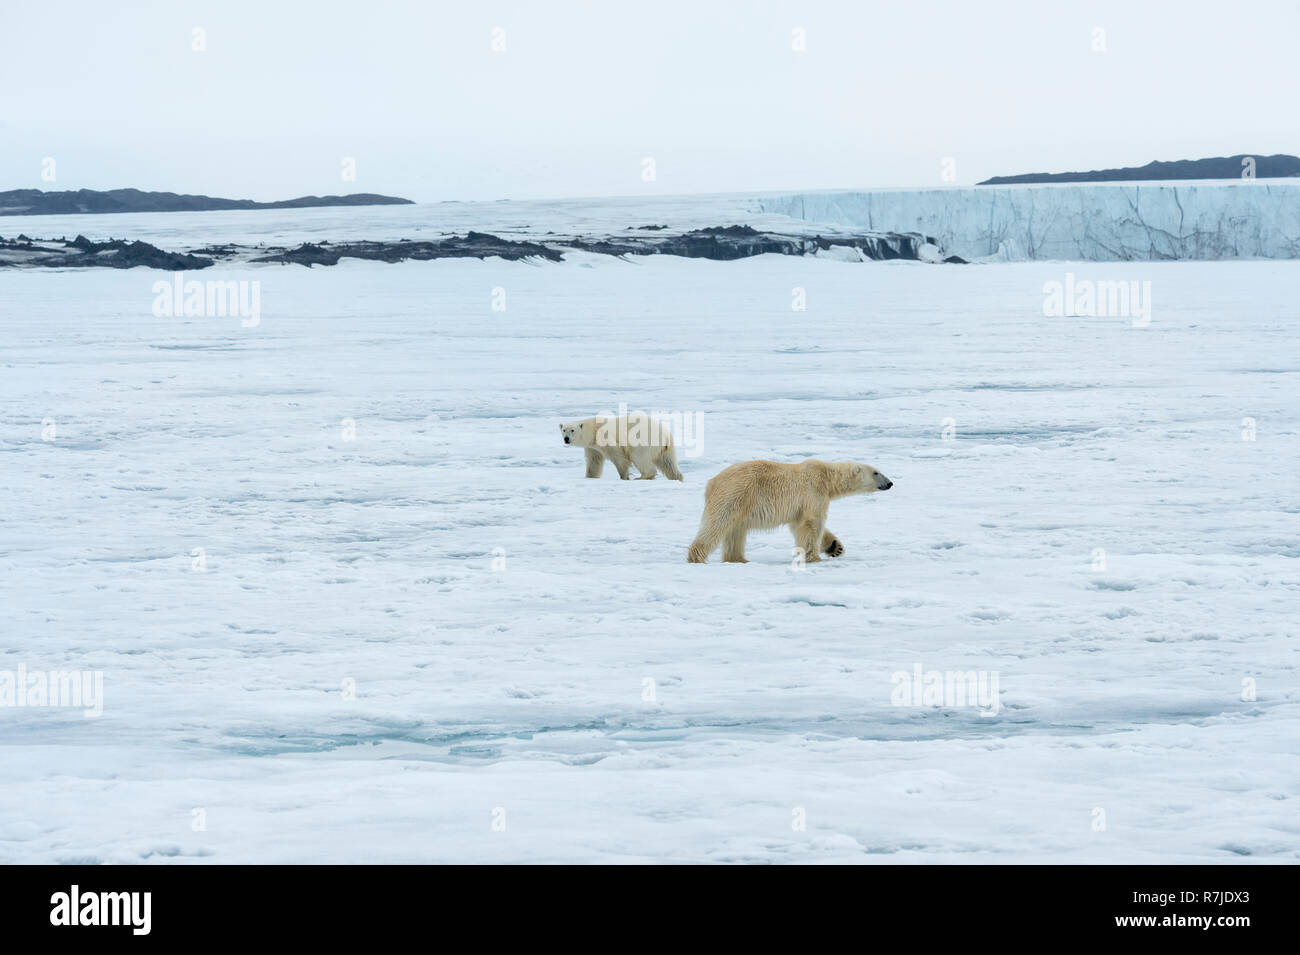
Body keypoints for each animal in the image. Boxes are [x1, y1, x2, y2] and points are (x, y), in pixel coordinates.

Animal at [686, 459, 889, 563]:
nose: (890, 483)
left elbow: (800, 524)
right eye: (876, 472)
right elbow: (812, 523)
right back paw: (697, 556)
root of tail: (711, 483)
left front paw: (835, 547)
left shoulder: (801, 504)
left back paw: (738, 559)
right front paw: (814, 558)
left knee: (736, 531)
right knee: (718, 524)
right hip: (734, 493)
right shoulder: (813, 491)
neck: (826, 475)